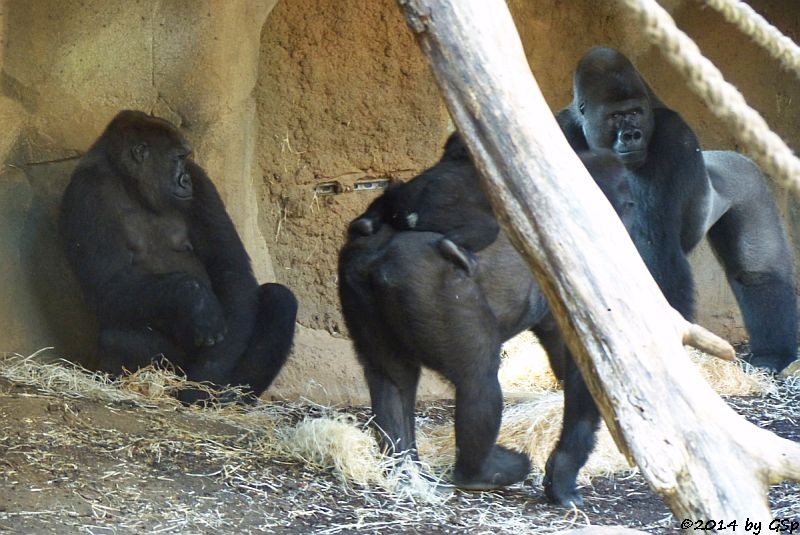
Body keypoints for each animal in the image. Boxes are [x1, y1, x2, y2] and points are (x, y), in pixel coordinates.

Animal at [59, 110, 296, 402]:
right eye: (177, 158)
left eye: (186, 160)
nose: (185, 179)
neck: (129, 183)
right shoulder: (85, 190)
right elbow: (107, 284)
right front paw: (193, 297)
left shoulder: (202, 182)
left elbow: (231, 269)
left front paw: (208, 373)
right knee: (117, 336)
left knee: (280, 300)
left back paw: (230, 396)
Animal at [338, 132, 636, 504]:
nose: (630, 215)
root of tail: (377, 258)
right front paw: (565, 472)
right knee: (477, 376)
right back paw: (480, 472)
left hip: (355, 278)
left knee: (391, 380)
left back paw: (405, 472)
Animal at [560, 47, 796, 372]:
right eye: (616, 116)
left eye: (636, 113)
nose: (632, 134)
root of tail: (718, 155)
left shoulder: (673, 137)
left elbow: (656, 244)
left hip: (747, 180)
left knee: (757, 272)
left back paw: (773, 354)